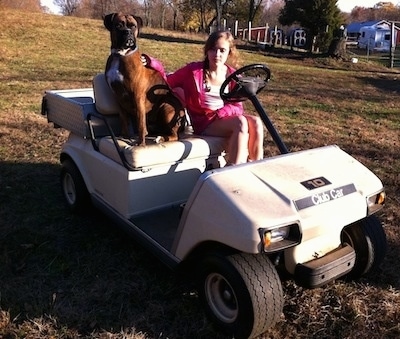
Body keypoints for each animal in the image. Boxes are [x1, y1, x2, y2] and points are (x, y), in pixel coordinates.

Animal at [102, 13, 185, 145]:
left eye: (133, 26)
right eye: (119, 25)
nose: (128, 32)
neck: (120, 55)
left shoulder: (137, 95)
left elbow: (140, 123)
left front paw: (140, 144)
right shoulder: (118, 97)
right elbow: (123, 119)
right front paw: (124, 136)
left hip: (166, 107)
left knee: (174, 135)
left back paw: (160, 138)